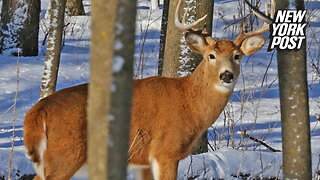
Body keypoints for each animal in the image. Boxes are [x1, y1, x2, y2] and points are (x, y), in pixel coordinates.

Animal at [23, 0, 272, 179]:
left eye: (237, 56)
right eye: (211, 55)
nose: (226, 75)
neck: (190, 102)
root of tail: (37, 111)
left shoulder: (142, 161)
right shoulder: (165, 151)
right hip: (65, 154)